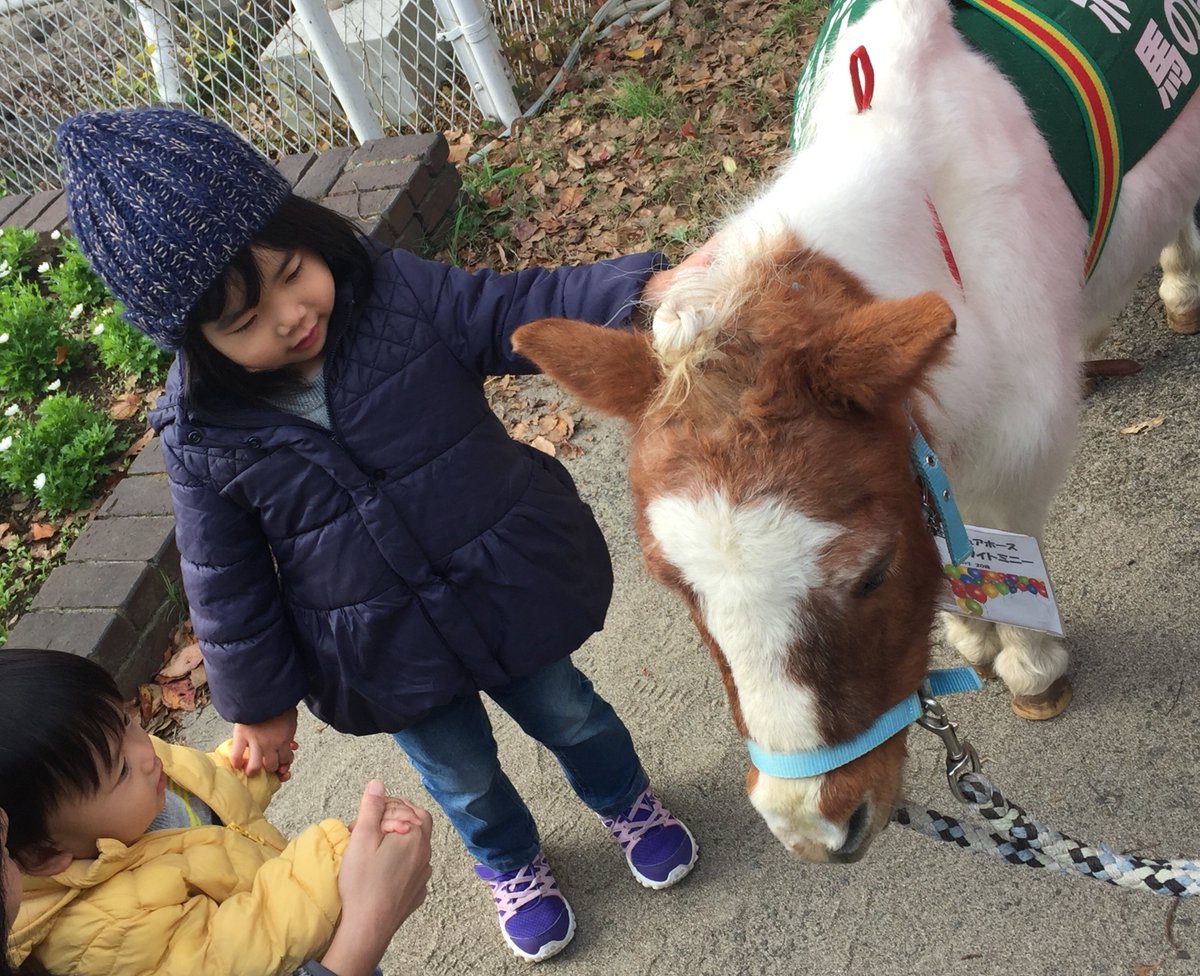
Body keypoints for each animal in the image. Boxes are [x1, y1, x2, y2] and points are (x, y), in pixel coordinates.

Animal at [511, 0, 1200, 859]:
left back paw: (1180, 290)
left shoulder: (1016, 458)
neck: (937, 227)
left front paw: (1034, 671)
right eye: (676, 587)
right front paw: (971, 642)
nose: (810, 827)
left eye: (871, 574)